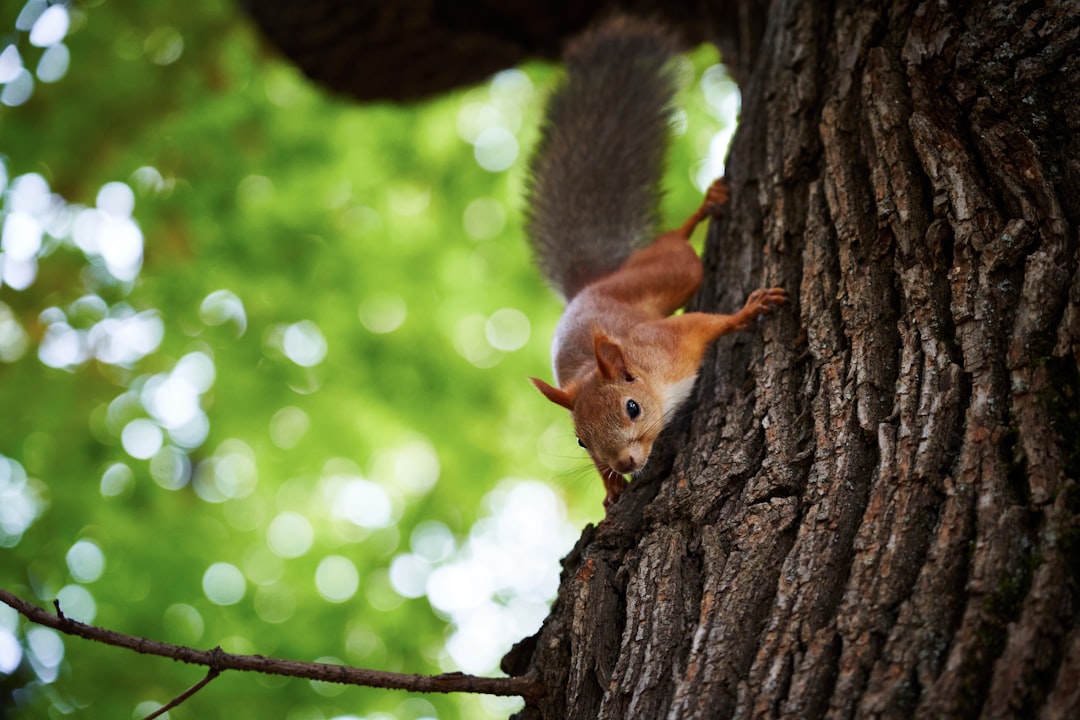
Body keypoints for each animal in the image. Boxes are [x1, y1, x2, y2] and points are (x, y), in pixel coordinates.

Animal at [520, 16, 786, 511]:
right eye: (581, 441)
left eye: (632, 408)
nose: (624, 463)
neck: (648, 377)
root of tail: (596, 282)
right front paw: (610, 489)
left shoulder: (672, 343)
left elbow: (710, 323)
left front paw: (751, 309)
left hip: (671, 272)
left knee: (677, 245)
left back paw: (705, 207)